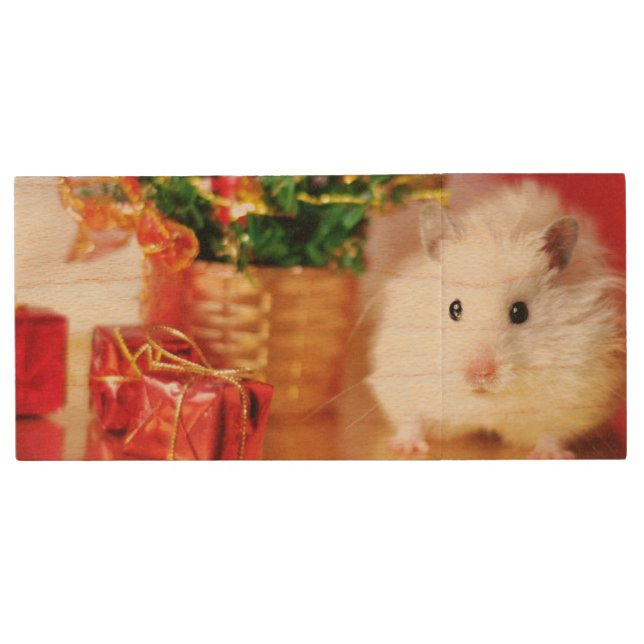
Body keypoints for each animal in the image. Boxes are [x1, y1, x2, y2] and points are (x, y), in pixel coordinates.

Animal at [368, 181, 625, 458]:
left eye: (520, 312)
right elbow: (411, 420)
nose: (480, 373)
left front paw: (548, 455)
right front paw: (405, 448)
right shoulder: (402, 378)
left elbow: (553, 432)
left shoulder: (578, 394)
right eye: (453, 308)